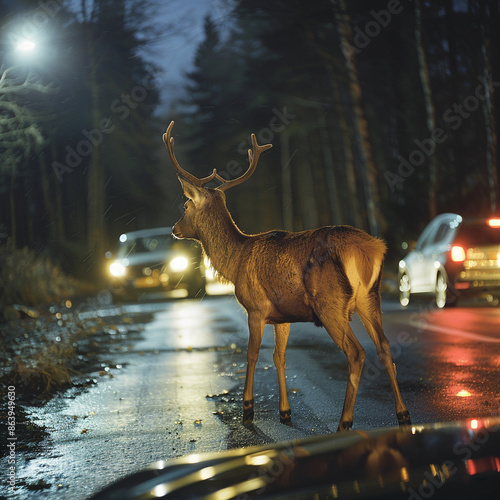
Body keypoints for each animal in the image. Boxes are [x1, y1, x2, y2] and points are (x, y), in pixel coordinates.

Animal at [164, 120, 410, 430]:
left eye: (185, 206)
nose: (174, 228)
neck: (236, 260)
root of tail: (371, 249)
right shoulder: (283, 316)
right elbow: (279, 356)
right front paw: (285, 412)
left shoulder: (255, 308)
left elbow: (253, 354)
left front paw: (247, 408)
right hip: (369, 297)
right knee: (385, 347)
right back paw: (403, 414)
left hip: (330, 303)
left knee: (356, 353)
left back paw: (345, 421)